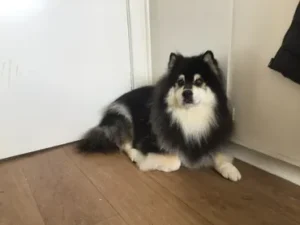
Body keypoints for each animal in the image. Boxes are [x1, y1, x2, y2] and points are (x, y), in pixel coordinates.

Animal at [79, 50, 241, 181]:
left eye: (199, 81)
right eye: (180, 82)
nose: (187, 93)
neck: (189, 118)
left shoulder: (213, 138)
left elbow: (220, 155)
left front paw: (230, 169)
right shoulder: (150, 142)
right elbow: (176, 161)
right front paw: (144, 160)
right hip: (124, 118)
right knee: (124, 144)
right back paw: (135, 155)